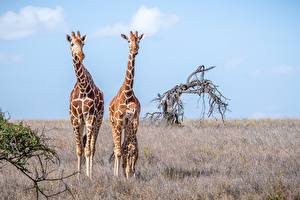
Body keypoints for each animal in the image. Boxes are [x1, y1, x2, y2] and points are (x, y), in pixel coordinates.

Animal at [66, 30, 103, 178]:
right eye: (71, 43)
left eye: (83, 43)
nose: (81, 55)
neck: (82, 88)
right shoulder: (76, 119)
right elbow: (79, 149)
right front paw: (78, 176)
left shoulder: (90, 117)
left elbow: (87, 150)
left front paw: (89, 176)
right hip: (82, 122)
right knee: (84, 144)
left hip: (98, 121)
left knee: (92, 147)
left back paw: (90, 172)